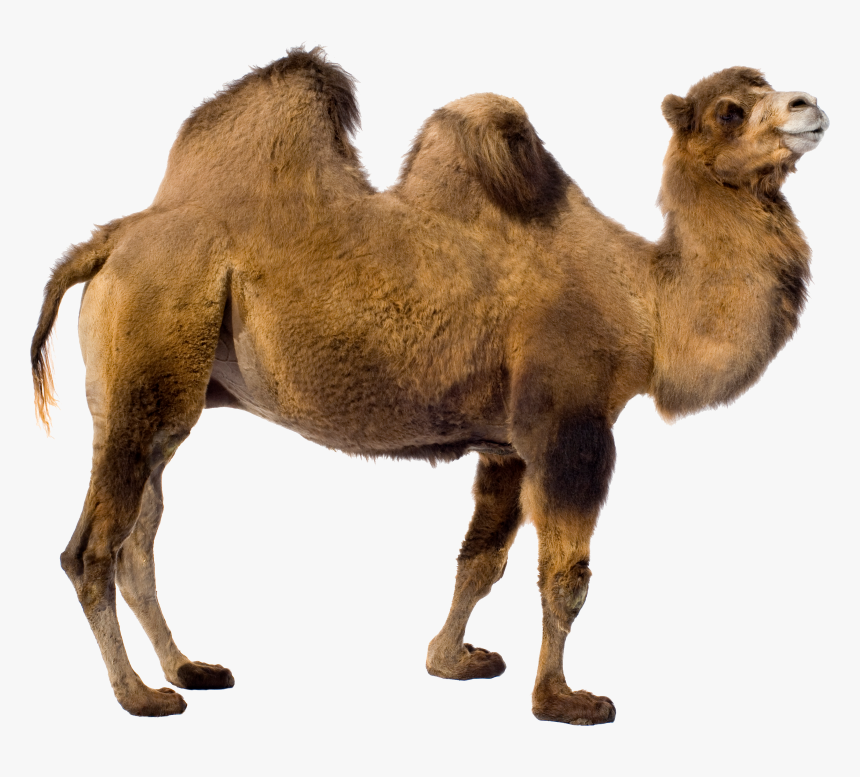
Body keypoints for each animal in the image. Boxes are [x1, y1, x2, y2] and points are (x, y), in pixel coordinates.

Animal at [31, 48, 828, 723]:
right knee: (91, 550)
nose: (810, 104)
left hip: (156, 394)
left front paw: (451, 659)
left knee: (139, 538)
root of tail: (107, 242)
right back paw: (139, 696)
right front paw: (561, 700)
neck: (648, 302)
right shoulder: (570, 426)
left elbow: (482, 560)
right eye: (730, 110)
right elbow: (565, 576)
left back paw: (188, 668)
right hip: (152, 343)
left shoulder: (508, 443)